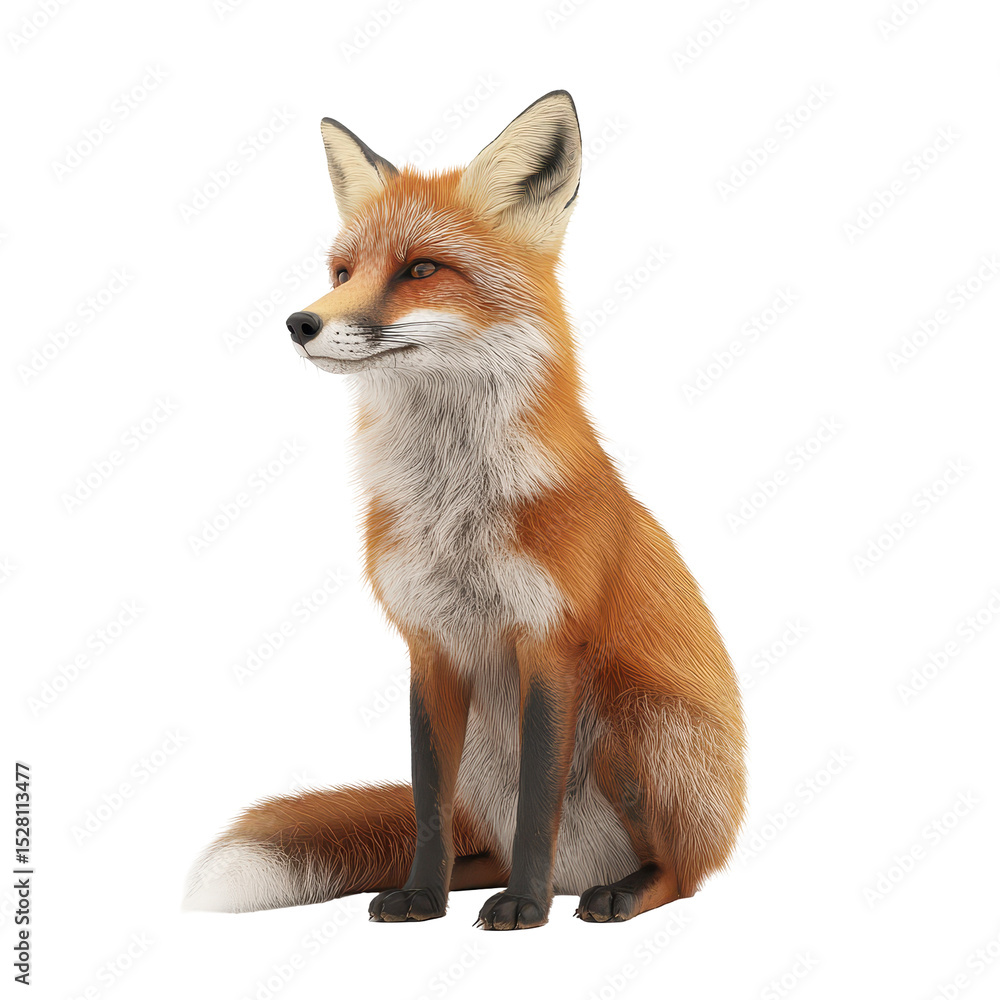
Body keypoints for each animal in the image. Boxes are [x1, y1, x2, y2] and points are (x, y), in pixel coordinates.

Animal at [185, 91, 747, 930]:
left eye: (421, 269)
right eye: (342, 272)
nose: (300, 322)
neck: (453, 509)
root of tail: (586, 868)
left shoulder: (550, 644)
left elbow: (539, 801)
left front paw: (525, 910)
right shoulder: (431, 648)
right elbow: (426, 803)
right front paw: (423, 895)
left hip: (628, 724)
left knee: (681, 872)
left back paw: (612, 891)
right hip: (488, 749)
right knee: (480, 841)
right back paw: (470, 879)